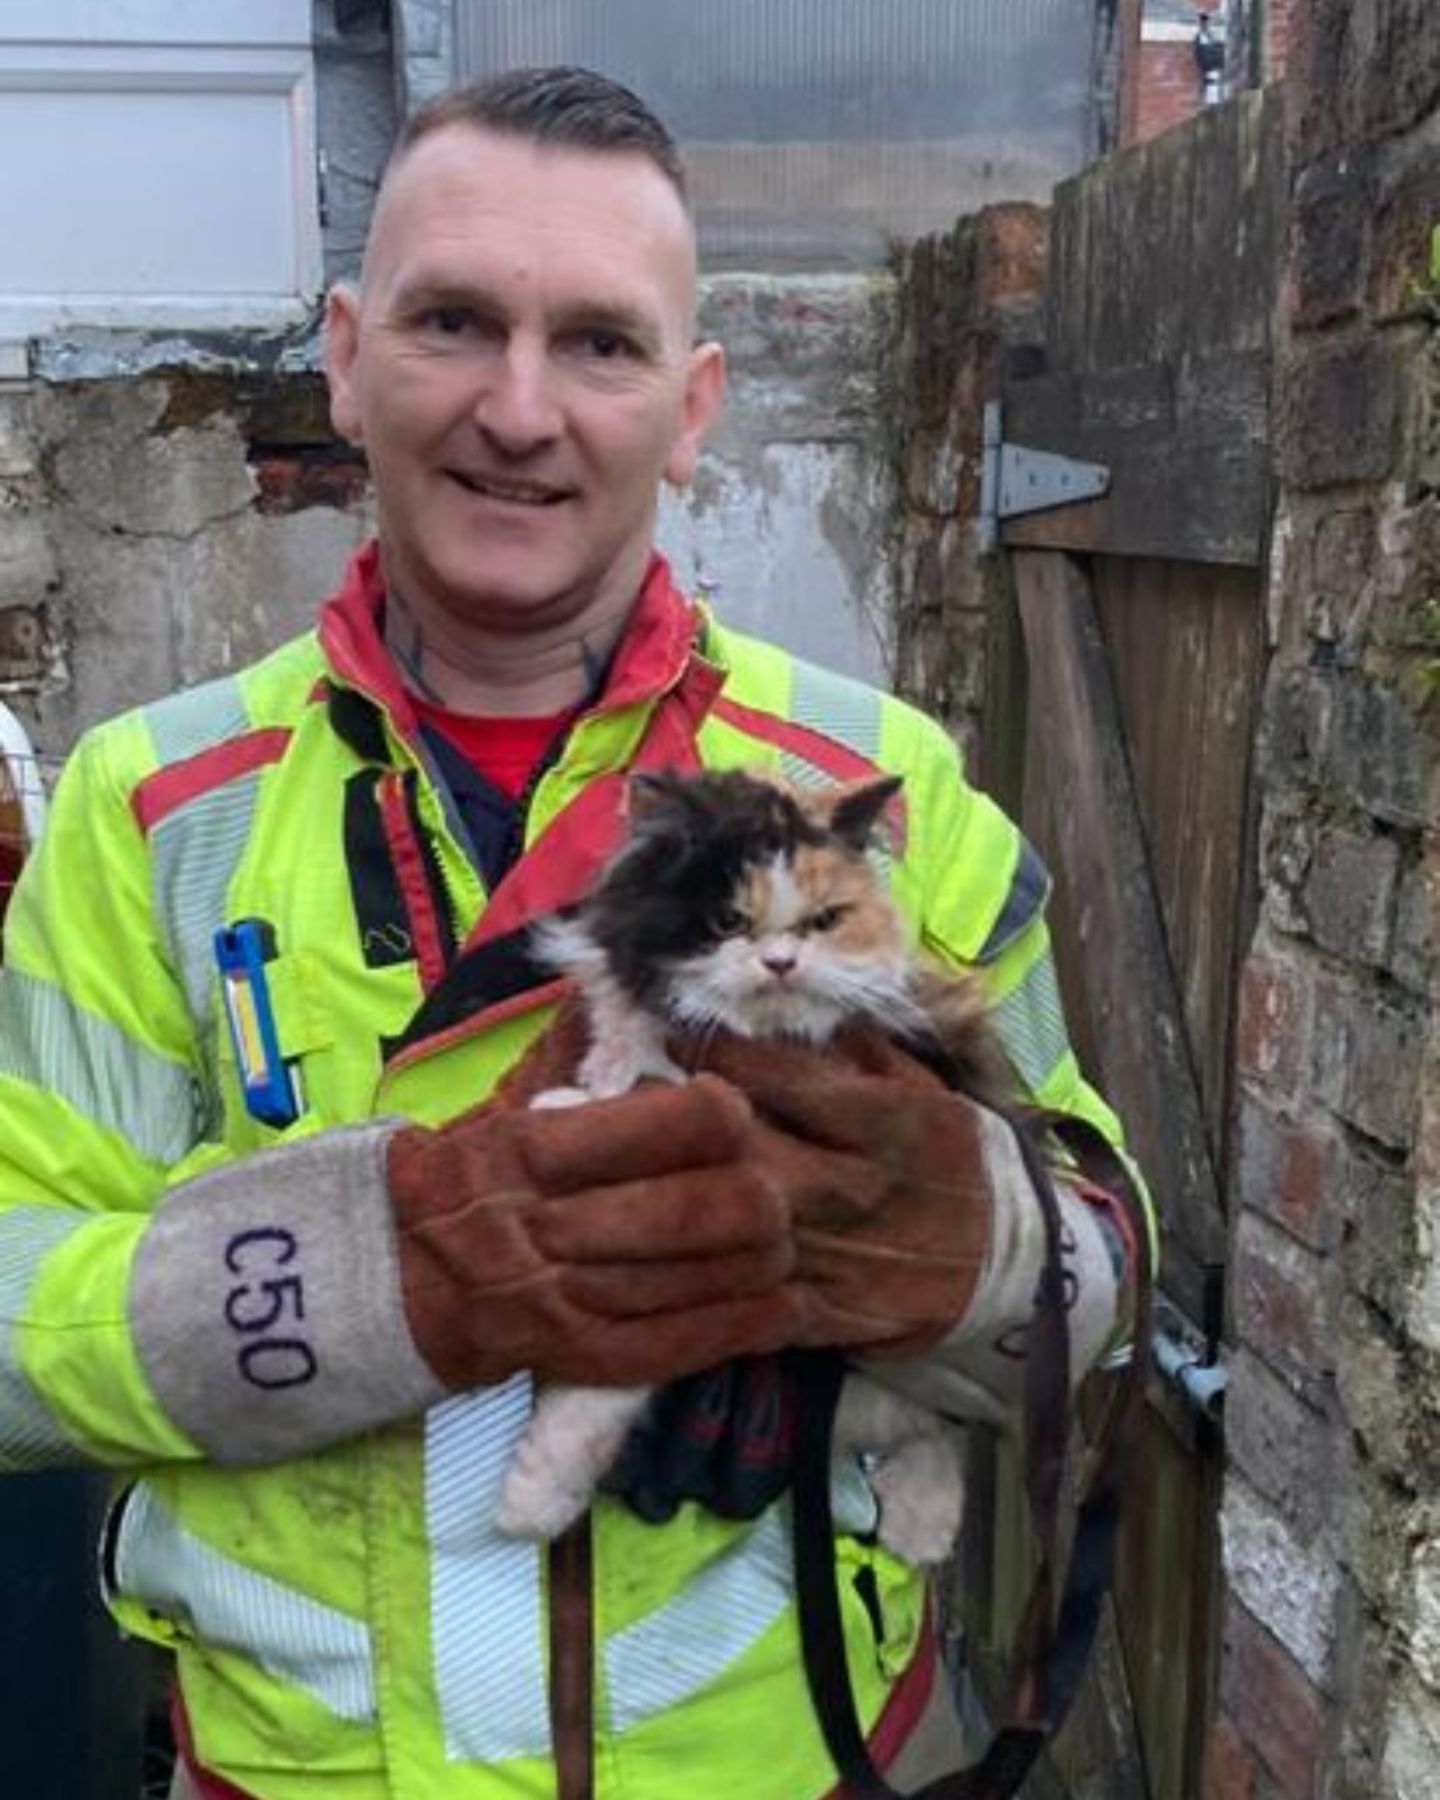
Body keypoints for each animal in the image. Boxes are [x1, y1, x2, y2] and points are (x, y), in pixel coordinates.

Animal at [500, 766, 1008, 1569]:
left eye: (823, 921)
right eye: (728, 920)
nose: (780, 963)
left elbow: (597, 1397)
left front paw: (525, 1507)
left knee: (940, 1426)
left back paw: (921, 1529)